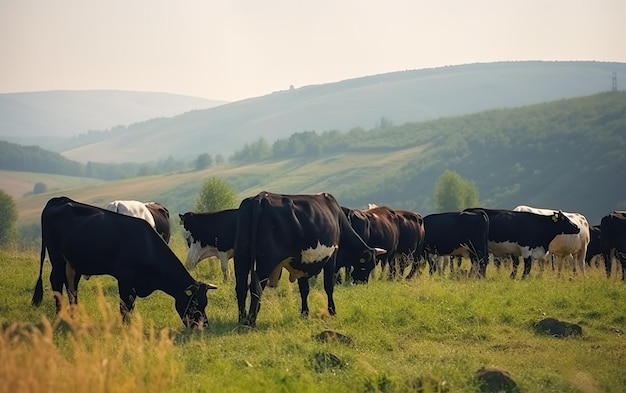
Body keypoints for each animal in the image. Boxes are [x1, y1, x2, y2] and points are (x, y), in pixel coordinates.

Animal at [31, 196, 217, 328]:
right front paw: (124, 326)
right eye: (195, 303)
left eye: (205, 303)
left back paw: (74, 316)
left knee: (71, 286)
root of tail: (59, 199)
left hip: (73, 263)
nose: (204, 325)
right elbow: (125, 304)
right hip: (56, 257)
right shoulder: (125, 277)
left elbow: (130, 303)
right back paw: (60, 315)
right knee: (57, 282)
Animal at [233, 191, 382, 326]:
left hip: (241, 257)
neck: (338, 219)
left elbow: (304, 289)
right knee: (255, 288)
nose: (362, 284)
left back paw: (242, 320)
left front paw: (305, 313)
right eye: (366, 266)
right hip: (266, 261)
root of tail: (260, 198)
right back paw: (251, 321)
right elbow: (329, 286)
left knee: (241, 288)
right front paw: (332, 311)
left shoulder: (302, 263)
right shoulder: (331, 256)